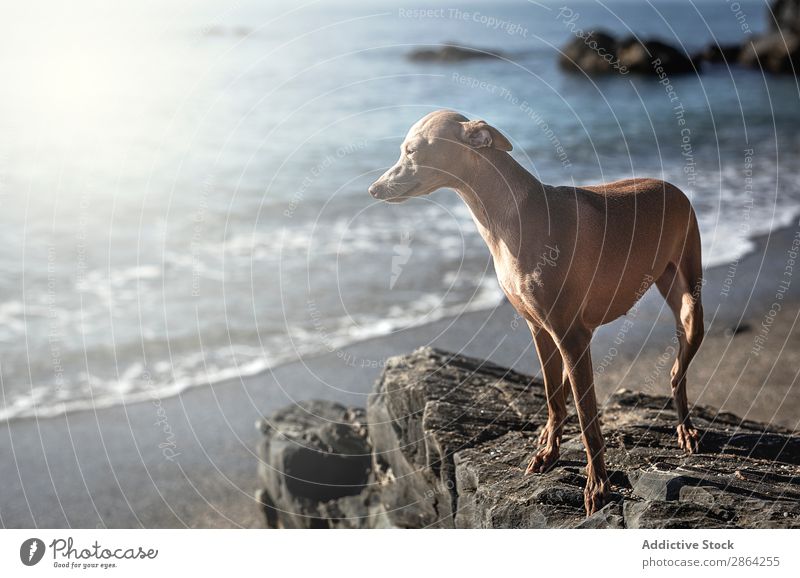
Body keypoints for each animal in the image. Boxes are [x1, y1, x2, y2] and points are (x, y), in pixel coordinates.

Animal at [366, 109, 704, 512]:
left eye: (412, 150)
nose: (372, 190)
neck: (512, 216)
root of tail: (674, 187)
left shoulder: (573, 336)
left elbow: (588, 419)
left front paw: (597, 485)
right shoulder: (541, 330)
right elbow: (554, 398)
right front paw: (548, 452)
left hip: (690, 308)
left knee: (676, 373)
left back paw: (685, 428)